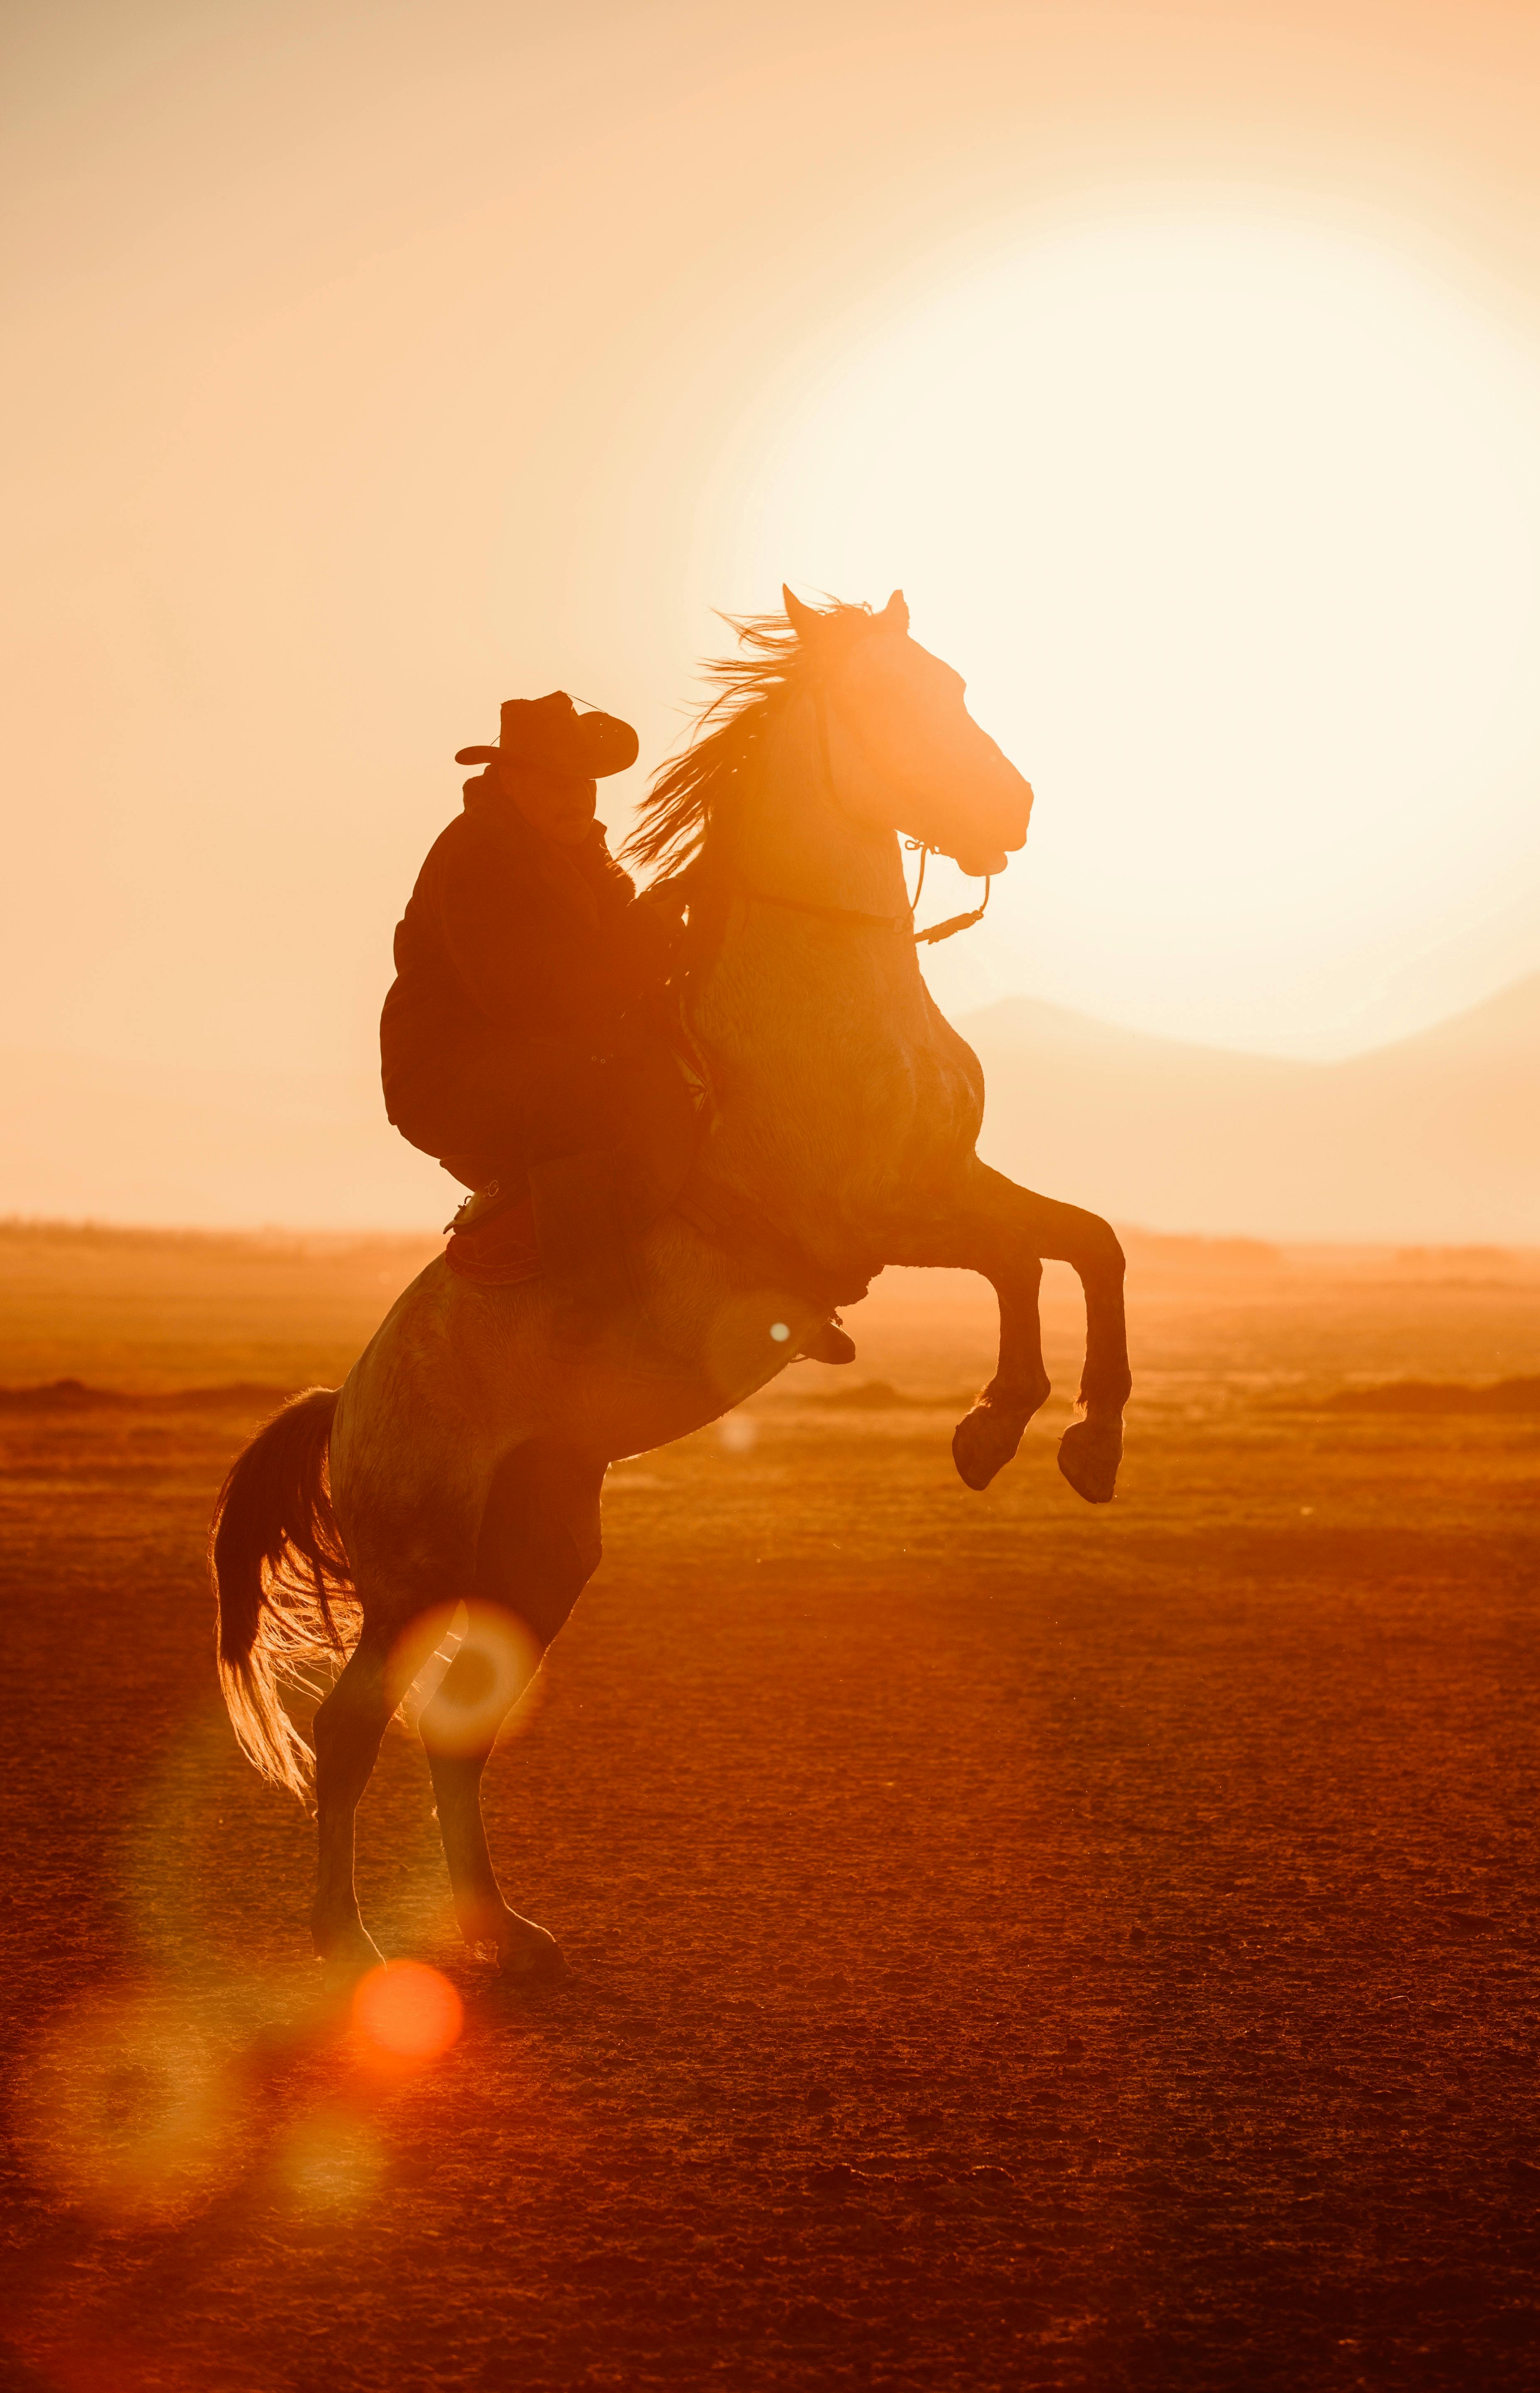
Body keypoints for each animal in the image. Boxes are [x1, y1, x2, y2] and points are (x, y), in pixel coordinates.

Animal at [211, 587, 1131, 1981]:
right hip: (413, 1576)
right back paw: (350, 1940)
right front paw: (1011, 1423)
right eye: (888, 698)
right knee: (355, 1731)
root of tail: (345, 1406)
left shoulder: (950, 1181)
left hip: (536, 1561)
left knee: (458, 1731)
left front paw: (1067, 1437)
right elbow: (1029, 1257)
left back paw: (506, 1929)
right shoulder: (866, 1221)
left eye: (954, 684)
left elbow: (1082, 1244)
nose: (1011, 811)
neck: (821, 983)